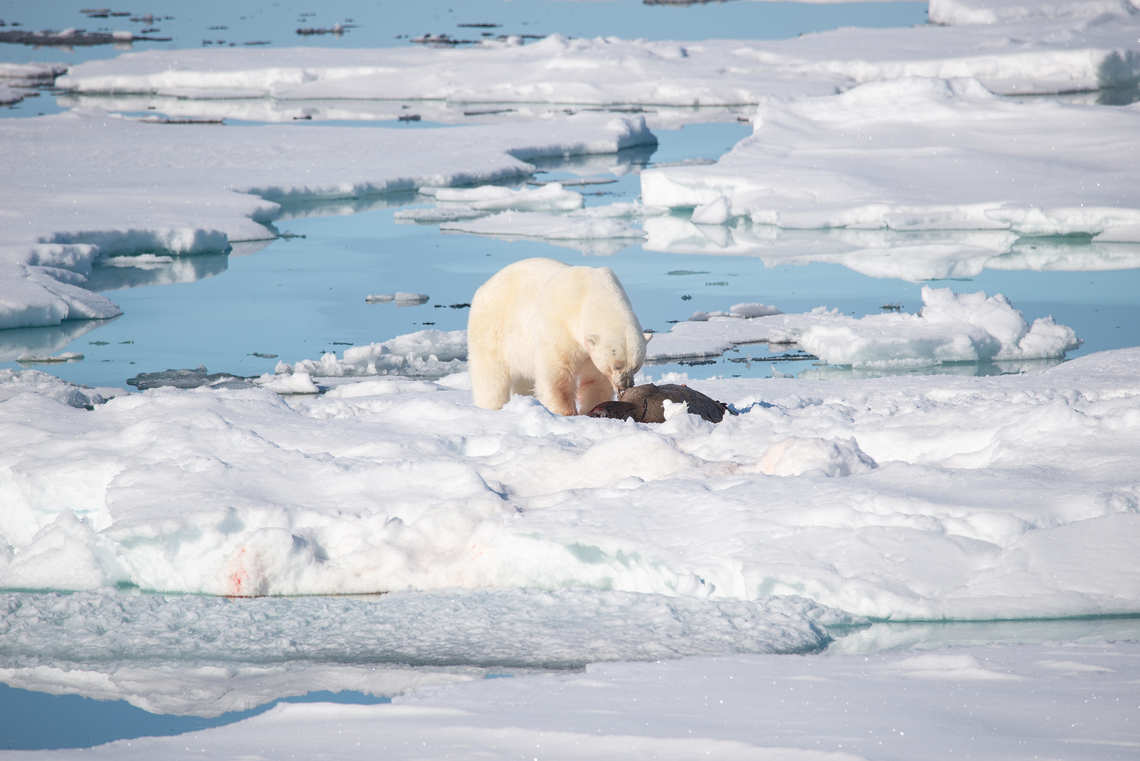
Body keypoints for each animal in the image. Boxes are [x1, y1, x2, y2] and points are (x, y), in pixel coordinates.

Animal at [468, 257, 647, 416]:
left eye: (636, 366)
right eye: (617, 365)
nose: (626, 385)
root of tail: (484, 287)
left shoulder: (589, 351)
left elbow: (595, 379)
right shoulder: (560, 327)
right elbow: (557, 375)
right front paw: (566, 412)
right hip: (491, 328)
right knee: (491, 377)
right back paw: (491, 406)